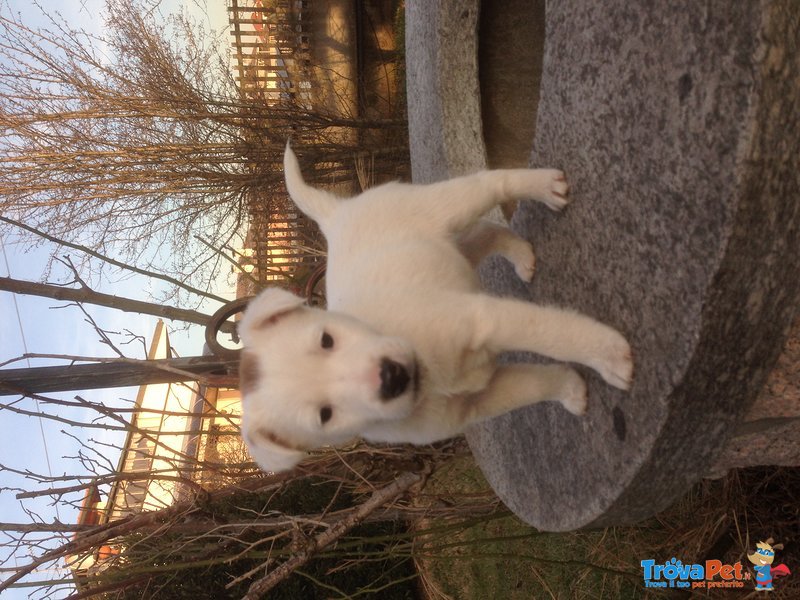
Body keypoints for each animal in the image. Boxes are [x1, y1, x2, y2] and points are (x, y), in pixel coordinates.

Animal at [238, 145, 632, 474]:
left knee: (491, 183)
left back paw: (547, 186)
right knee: (483, 235)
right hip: (444, 247)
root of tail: (336, 216)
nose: (392, 376)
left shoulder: (487, 320)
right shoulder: (483, 400)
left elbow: (556, 334)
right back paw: (521, 255)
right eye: (325, 415)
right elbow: (535, 384)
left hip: (444, 206)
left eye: (326, 339)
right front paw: (571, 390)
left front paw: (611, 357)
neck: (427, 371)